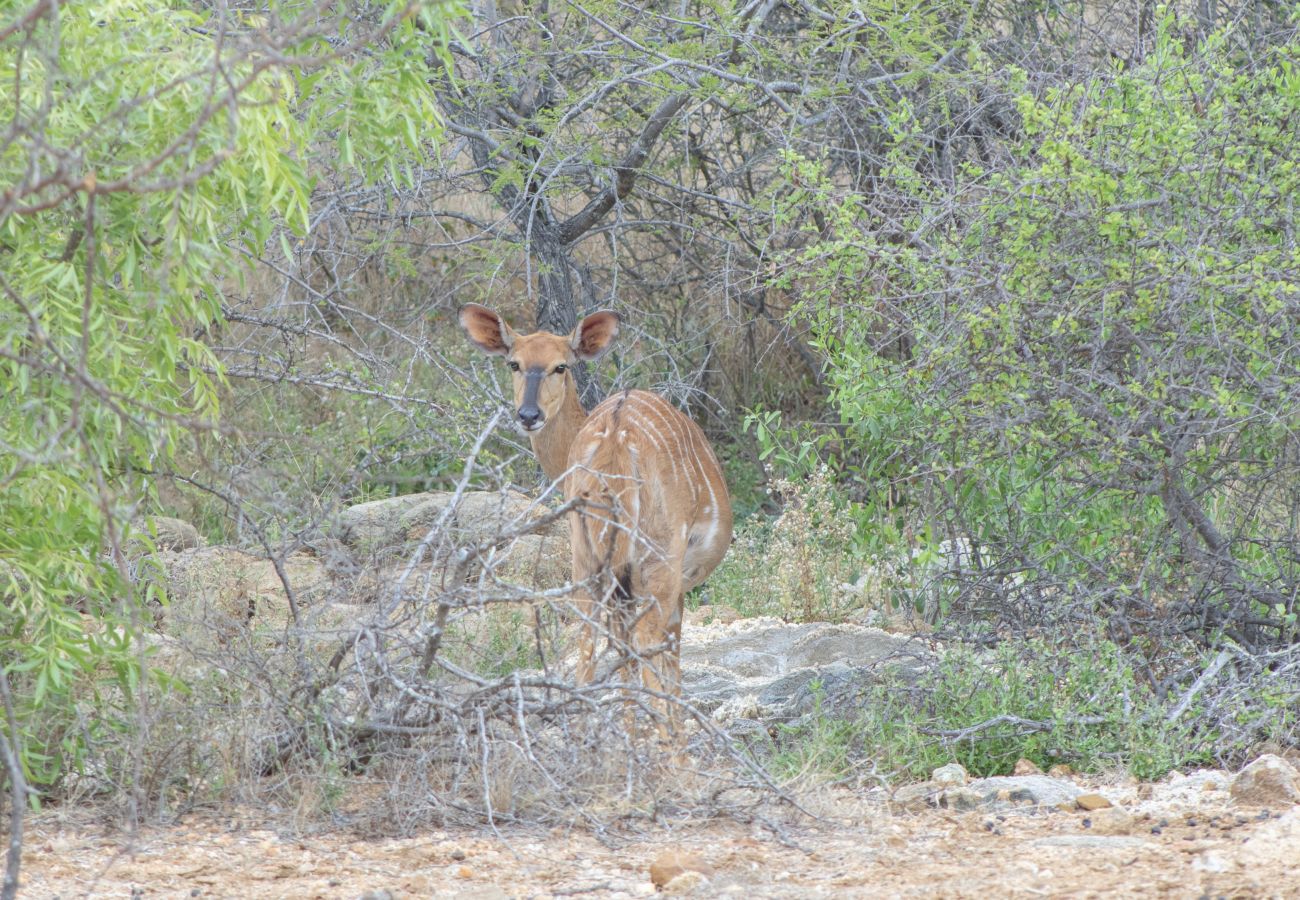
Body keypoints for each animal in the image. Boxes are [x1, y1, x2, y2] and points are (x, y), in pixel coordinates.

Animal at [460, 305, 733, 733]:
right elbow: (665, 660)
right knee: (645, 644)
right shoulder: (669, 583)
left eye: (560, 366)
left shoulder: (620, 584)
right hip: (656, 559)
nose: (528, 415)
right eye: (513, 363)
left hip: (588, 558)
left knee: (589, 640)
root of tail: (614, 442)